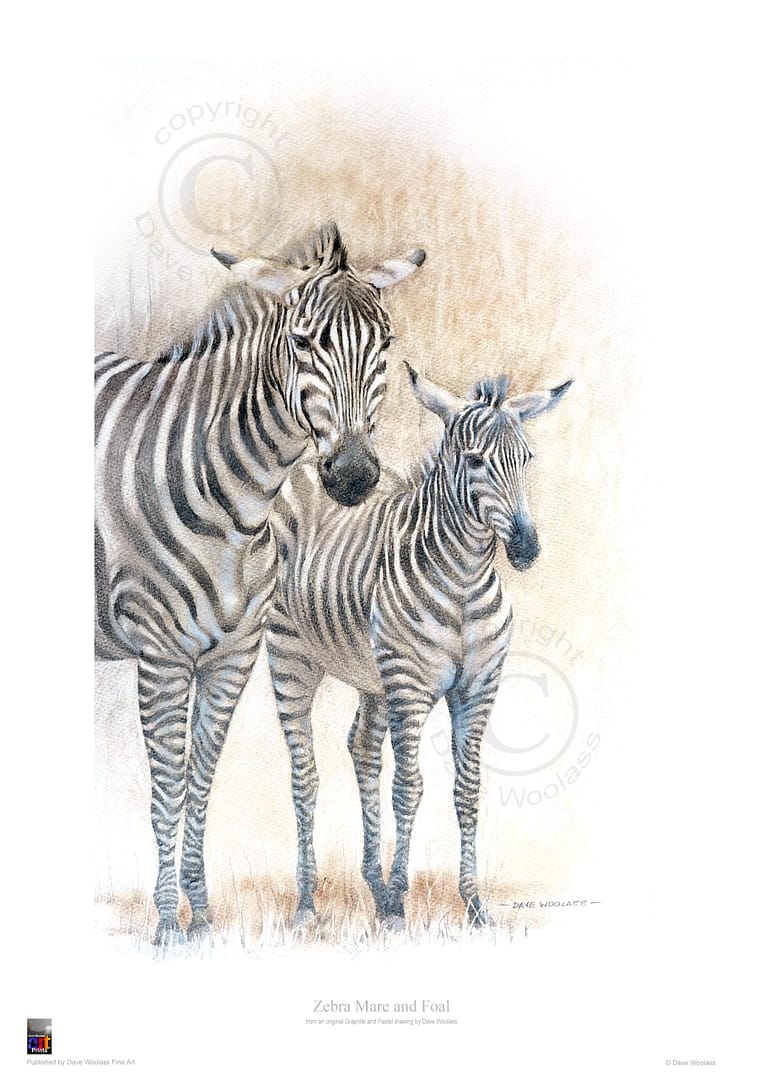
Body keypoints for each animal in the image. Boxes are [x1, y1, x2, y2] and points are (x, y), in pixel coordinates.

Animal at [95, 222, 426, 945]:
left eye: (385, 344)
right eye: (304, 342)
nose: (355, 476)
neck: (236, 501)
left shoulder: (233, 654)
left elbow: (200, 777)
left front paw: (200, 916)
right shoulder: (160, 652)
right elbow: (168, 784)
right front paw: (167, 924)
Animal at [266, 362, 572, 929]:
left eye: (527, 459)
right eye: (474, 461)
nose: (526, 548)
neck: (465, 580)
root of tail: (315, 469)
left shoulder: (478, 687)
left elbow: (467, 789)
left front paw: (472, 903)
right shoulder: (409, 688)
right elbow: (409, 789)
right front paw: (400, 899)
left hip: (373, 675)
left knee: (363, 748)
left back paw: (373, 884)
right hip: (291, 658)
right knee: (304, 775)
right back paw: (308, 903)